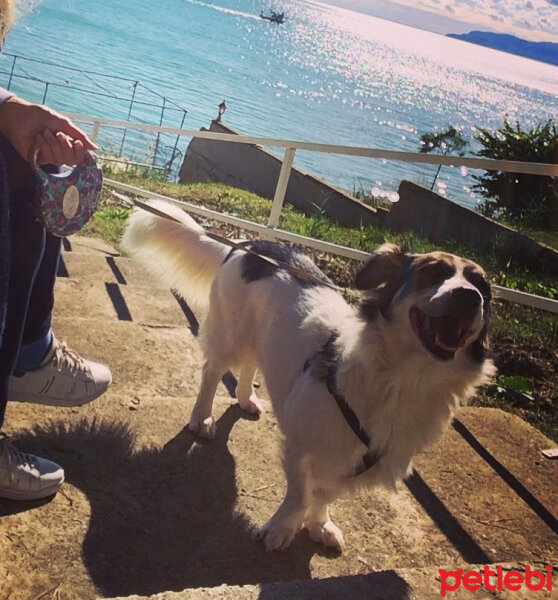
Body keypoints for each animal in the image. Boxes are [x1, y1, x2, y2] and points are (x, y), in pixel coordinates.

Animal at [121, 200, 494, 552]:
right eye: (432, 273)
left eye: (482, 287)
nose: (469, 297)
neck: (403, 380)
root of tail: (248, 243)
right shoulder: (301, 445)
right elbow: (300, 494)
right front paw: (282, 529)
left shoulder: (353, 463)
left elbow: (326, 494)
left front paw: (320, 525)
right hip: (231, 334)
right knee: (212, 371)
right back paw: (202, 418)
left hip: (262, 336)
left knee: (251, 363)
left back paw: (246, 398)